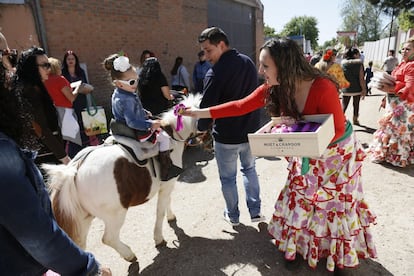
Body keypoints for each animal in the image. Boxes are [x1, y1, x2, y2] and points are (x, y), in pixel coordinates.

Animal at [42, 94, 202, 262]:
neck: (172, 136)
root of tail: (74, 170)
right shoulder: (168, 184)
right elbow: (160, 211)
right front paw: (158, 237)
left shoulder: (166, 185)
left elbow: (166, 203)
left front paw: (171, 217)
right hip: (114, 215)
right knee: (108, 238)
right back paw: (128, 254)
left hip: (83, 219)